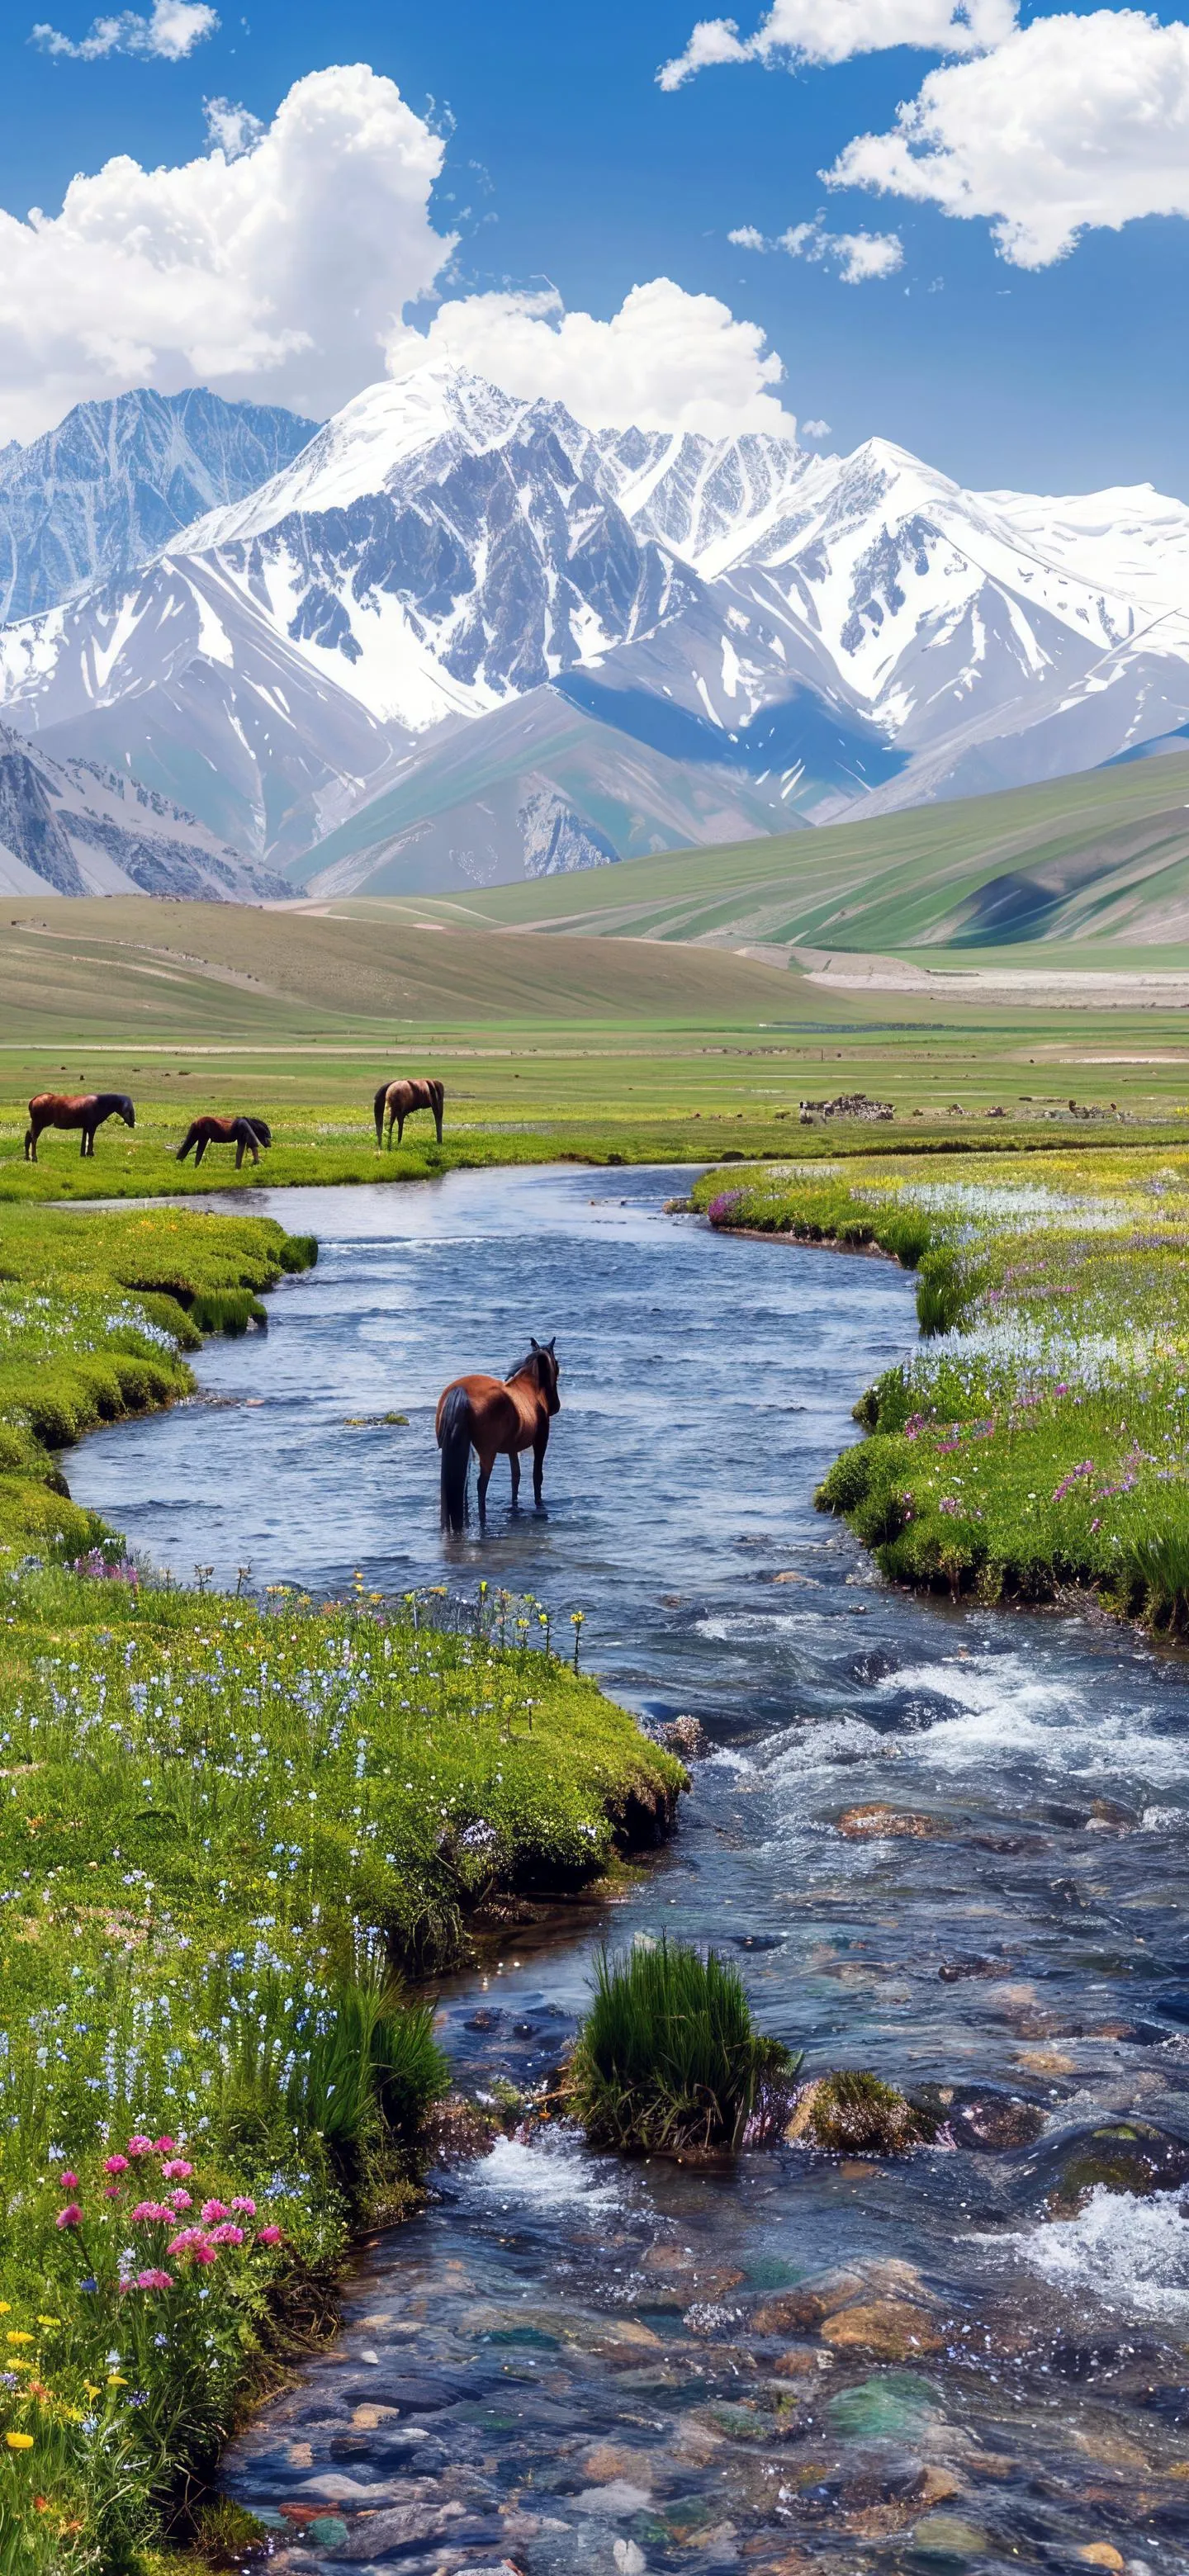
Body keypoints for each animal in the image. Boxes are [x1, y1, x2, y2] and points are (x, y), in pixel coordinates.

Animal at [24, 1091, 135, 1162]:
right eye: (129, 1108)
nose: (132, 1123)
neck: (101, 1103)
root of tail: (33, 1101)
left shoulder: (86, 1126)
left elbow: (84, 1140)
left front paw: (83, 1155)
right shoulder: (92, 1126)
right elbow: (90, 1140)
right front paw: (90, 1154)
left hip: (35, 1124)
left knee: (28, 1135)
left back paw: (27, 1157)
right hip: (39, 1124)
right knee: (34, 1138)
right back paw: (34, 1158)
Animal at [437, 1338, 560, 1533]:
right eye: (557, 1365)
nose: (556, 1406)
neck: (532, 1387)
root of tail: (460, 1392)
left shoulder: (512, 1448)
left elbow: (515, 1476)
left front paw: (515, 1506)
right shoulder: (541, 1441)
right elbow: (536, 1475)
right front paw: (539, 1504)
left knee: (462, 1484)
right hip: (488, 1453)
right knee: (481, 1485)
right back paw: (482, 1521)